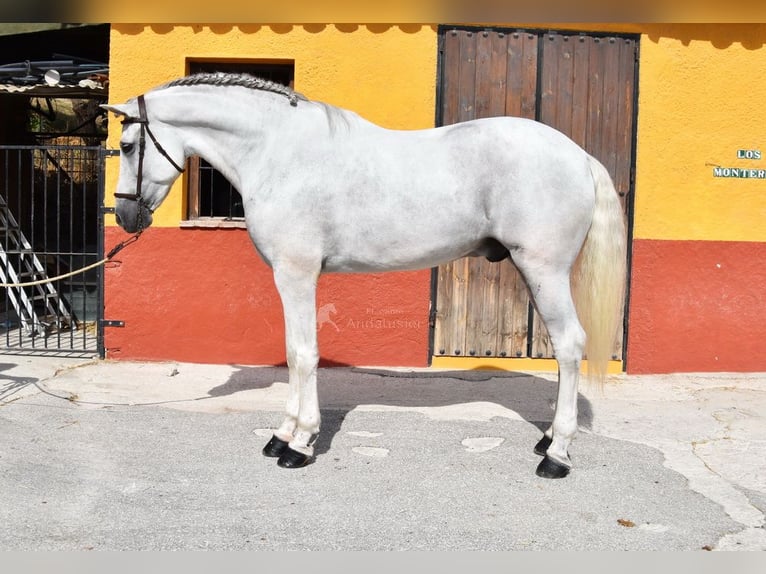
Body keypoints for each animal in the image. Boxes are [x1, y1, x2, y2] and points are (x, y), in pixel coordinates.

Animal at [102, 72, 627, 479]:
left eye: (126, 146)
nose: (125, 217)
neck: (278, 152)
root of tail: (578, 155)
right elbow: (293, 352)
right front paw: (281, 435)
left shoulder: (296, 274)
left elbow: (303, 355)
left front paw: (299, 444)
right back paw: (547, 440)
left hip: (544, 270)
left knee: (570, 346)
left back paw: (556, 455)